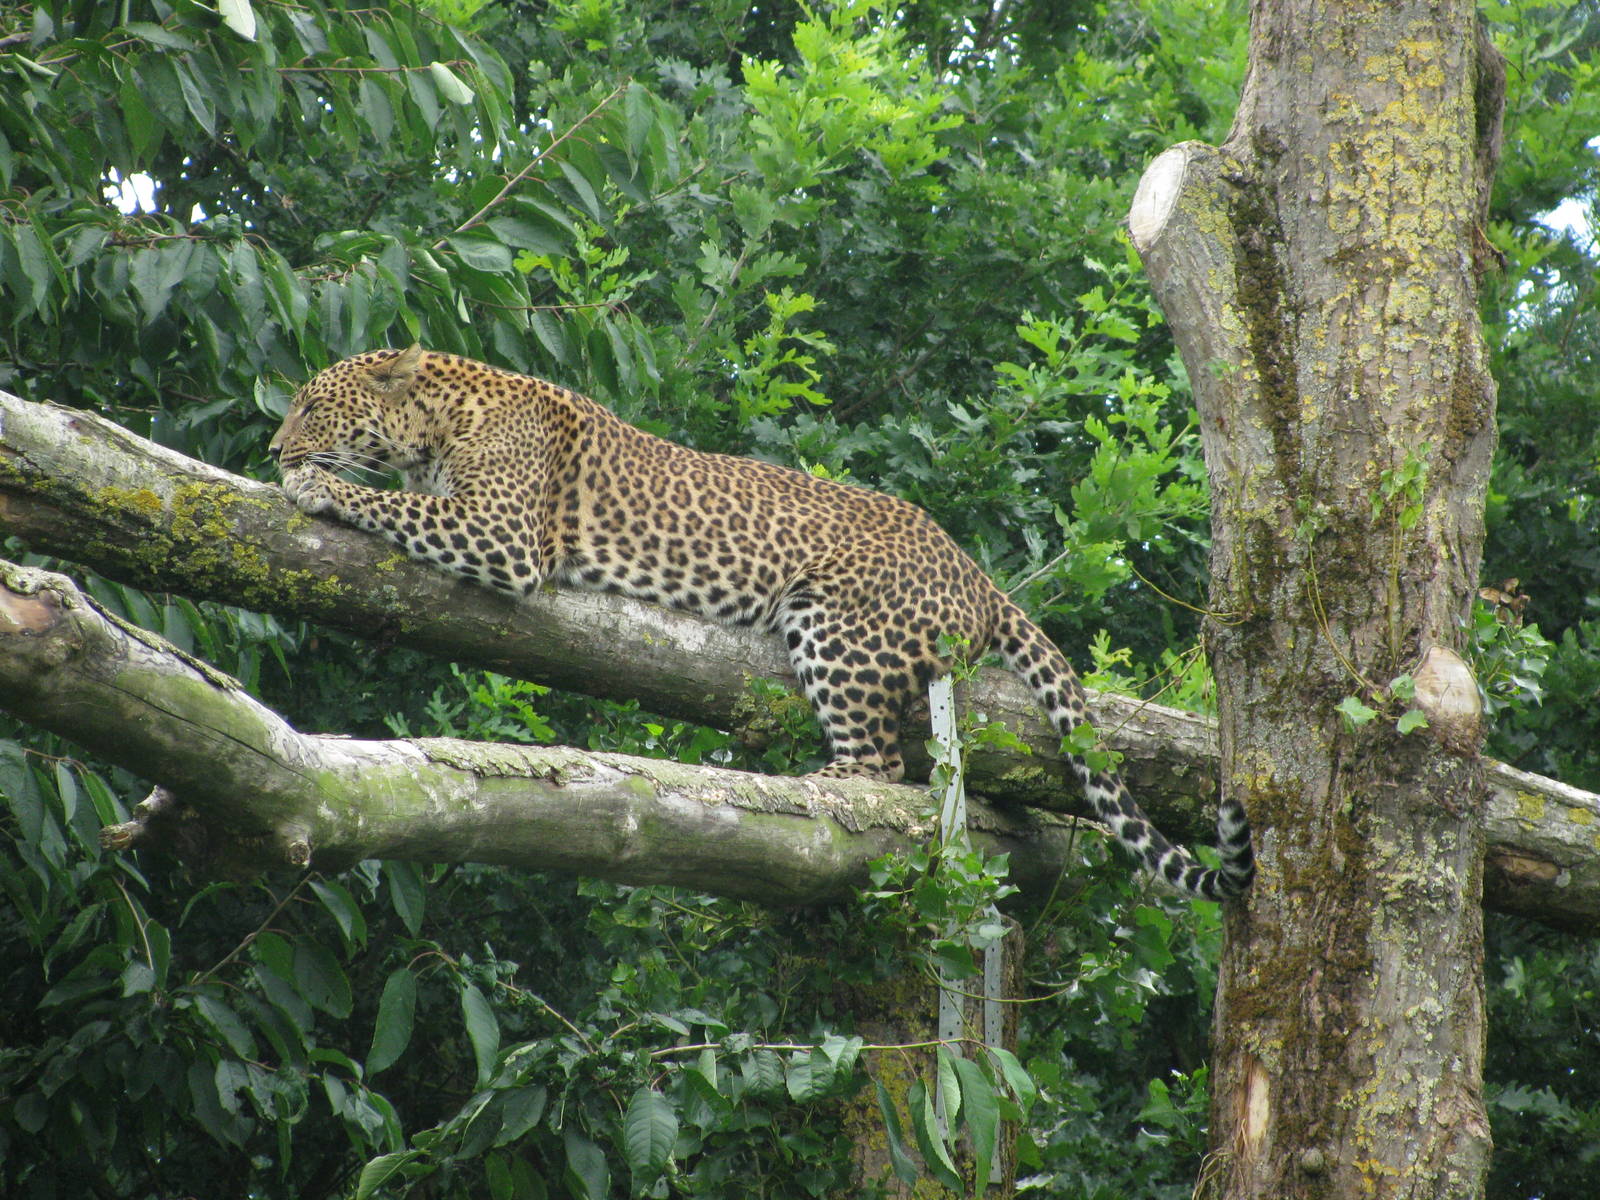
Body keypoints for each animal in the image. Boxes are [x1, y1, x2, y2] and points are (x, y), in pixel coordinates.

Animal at [271, 345, 1254, 899]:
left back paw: (800, 786)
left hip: (839, 628)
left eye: (312, 404)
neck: (436, 425)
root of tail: (974, 568)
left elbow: (391, 503)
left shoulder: (502, 535)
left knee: (880, 770)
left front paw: (314, 484)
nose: (274, 447)